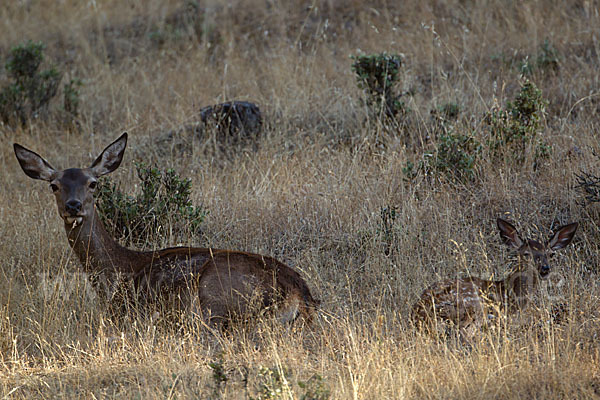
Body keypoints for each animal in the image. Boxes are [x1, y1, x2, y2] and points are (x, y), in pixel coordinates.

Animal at [412, 217, 576, 340]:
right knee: (466, 332)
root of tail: (419, 311)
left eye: (551, 254)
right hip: (476, 306)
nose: (545, 269)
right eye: (526, 254)